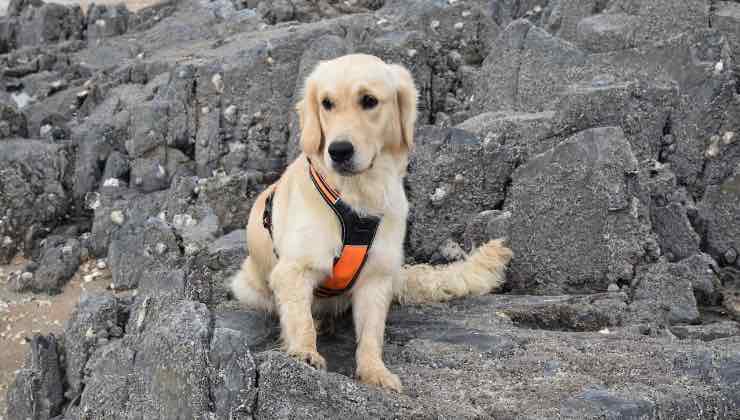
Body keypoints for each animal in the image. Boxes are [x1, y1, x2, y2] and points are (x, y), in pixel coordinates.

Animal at [233, 52, 516, 390]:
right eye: (326, 103)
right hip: (248, 286)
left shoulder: (377, 278)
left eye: (369, 100)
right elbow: (301, 321)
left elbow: (371, 334)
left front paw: (375, 371)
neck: (357, 198)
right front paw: (305, 352)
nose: (339, 150)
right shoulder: (293, 270)